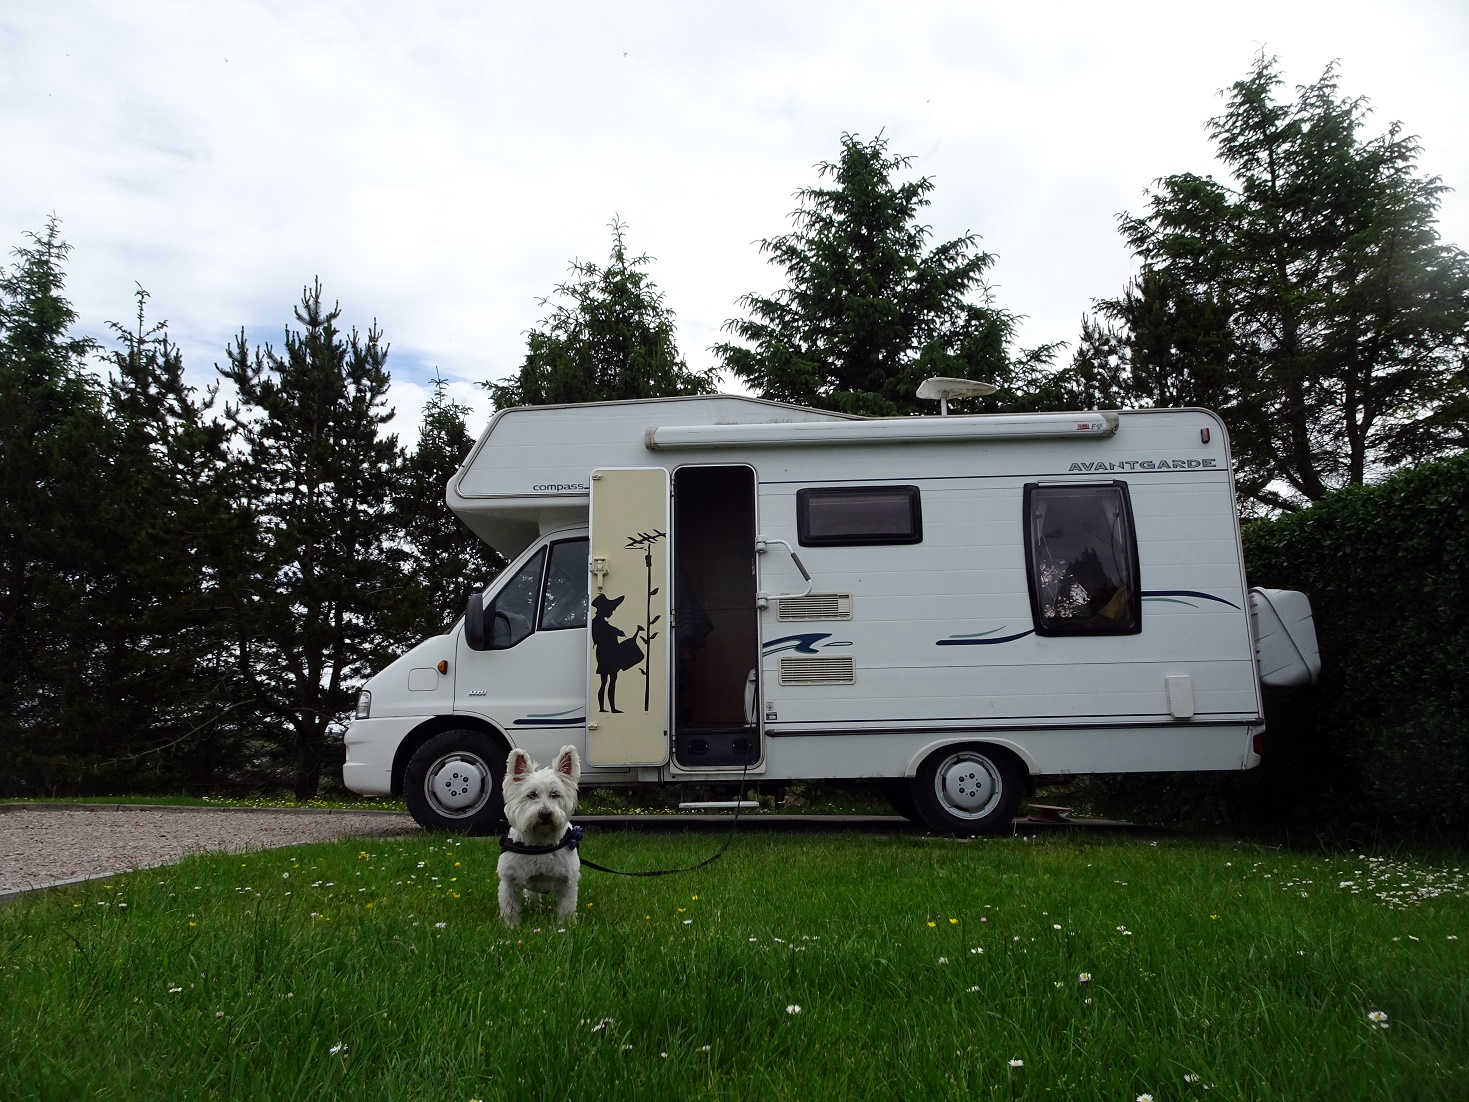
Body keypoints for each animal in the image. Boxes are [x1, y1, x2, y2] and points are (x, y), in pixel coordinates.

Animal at [499, 746, 578, 928]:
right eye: (531, 795)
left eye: (555, 794)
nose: (545, 814)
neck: (539, 842)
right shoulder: (508, 879)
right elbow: (509, 907)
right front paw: (511, 927)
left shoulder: (568, 882)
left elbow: (567, 907)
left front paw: (566, 927)